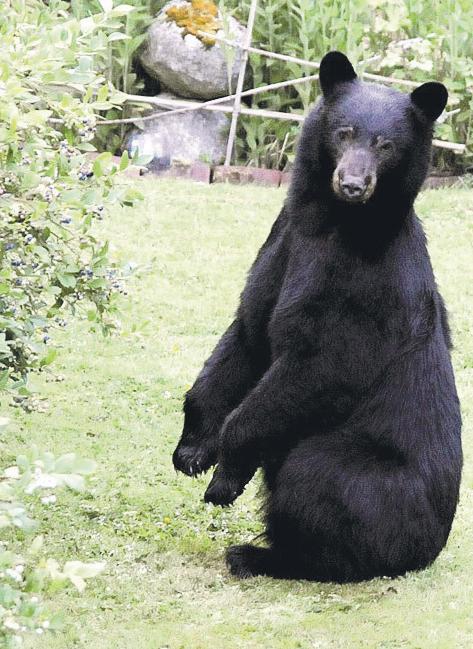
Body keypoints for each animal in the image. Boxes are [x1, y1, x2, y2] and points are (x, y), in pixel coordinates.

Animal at [172, 51, 462, 582]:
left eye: (386, 145)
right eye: (344, 132)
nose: (352, 184)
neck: (330, 222)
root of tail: (430, 549)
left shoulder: (364, 286)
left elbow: (323, 363)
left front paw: (225, 476)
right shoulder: (284, 240)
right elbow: (247, 331)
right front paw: (193, 450)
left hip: (363, 473)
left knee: (317, 481)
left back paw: (260, 555)